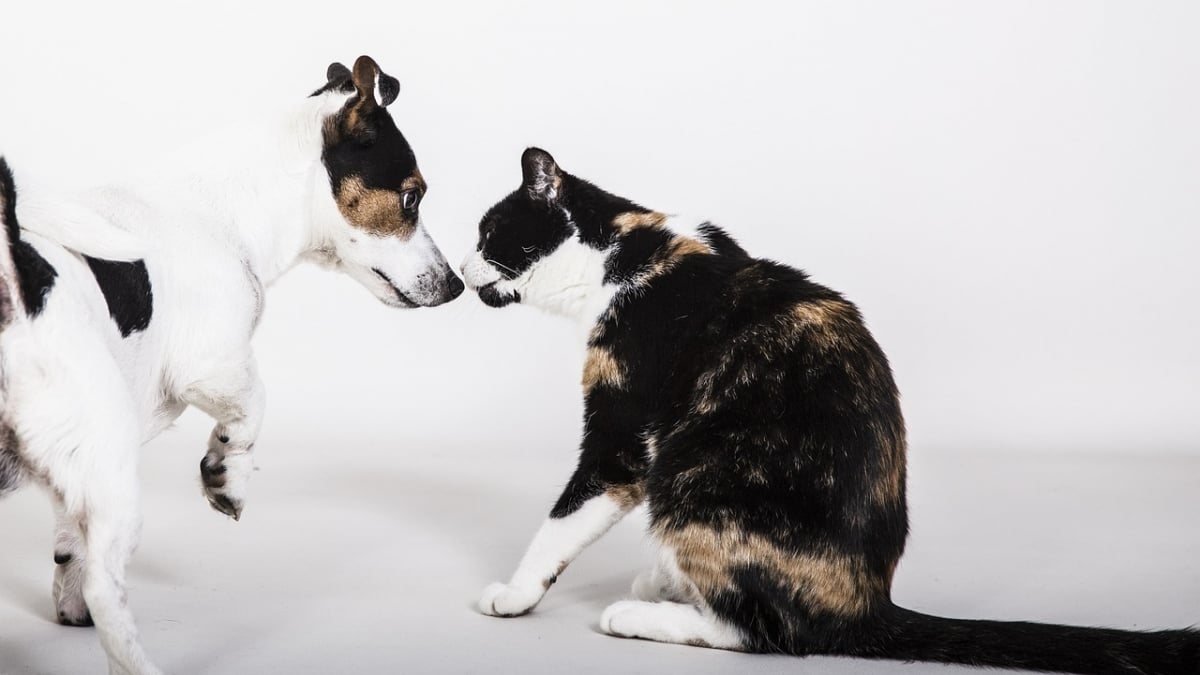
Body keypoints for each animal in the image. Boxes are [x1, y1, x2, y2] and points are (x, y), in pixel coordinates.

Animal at [0, 55, 460, 667]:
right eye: (412, 198)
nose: (456, 286)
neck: (225, 211)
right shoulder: (212, 364)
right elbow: (253, 406)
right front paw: (225, 474)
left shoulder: (79, 472)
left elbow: (70, 542)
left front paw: (68, 600)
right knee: (108, 587)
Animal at [453, 144, 1195, 667]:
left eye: (490, 234)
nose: (460, 268)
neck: (624, 251)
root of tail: (867, 607)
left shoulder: (623, 431)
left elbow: (561, 520)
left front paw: (513, 594)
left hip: (692, 482)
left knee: (768, 634)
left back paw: (641, 613)